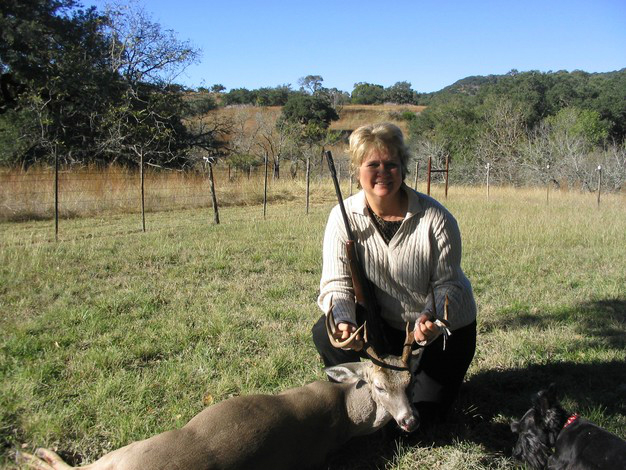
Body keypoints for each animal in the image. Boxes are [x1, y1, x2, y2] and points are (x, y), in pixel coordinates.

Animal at [16, 316, 420, 470]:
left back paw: (33, 452)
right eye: (379, 385)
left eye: (410, 382)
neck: (347, 415)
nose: (410, 420)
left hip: (127, 452)